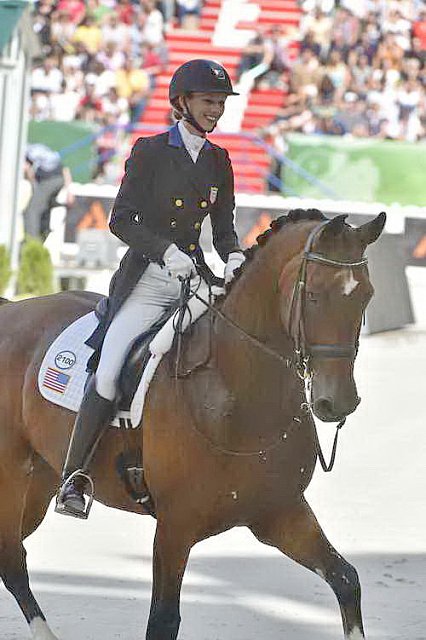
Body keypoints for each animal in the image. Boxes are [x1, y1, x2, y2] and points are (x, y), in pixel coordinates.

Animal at [0, 210, 386, 640]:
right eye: (315, 294)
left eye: (367, 296)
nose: (338, 402)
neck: (235, 391)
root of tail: (11, 309)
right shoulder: (175, 527)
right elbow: (163, 619)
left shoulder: (280, 513)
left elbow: (346, 579)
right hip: (10, 475)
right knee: (11, 558)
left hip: (39, 479)